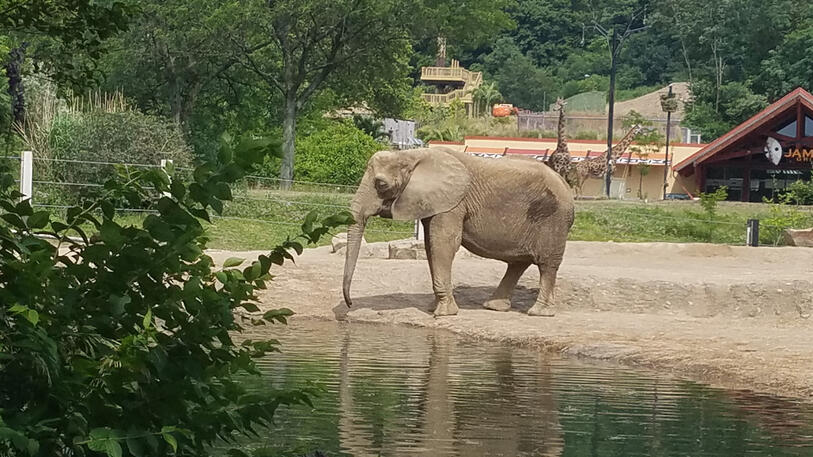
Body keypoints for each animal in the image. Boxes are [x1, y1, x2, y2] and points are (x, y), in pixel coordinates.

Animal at [342, 146, 575, 317]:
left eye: (381, 184)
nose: (350, 304)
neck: (413, 154)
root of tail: (566, 185)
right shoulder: (436, 202)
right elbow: (431, 245)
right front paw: (433, 308)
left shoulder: (453, 202)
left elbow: (443, 243)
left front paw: (442, 313)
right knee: (518, 263)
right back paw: (494, 306)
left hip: (553, 220)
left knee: (546, 263)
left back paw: (539, 312)